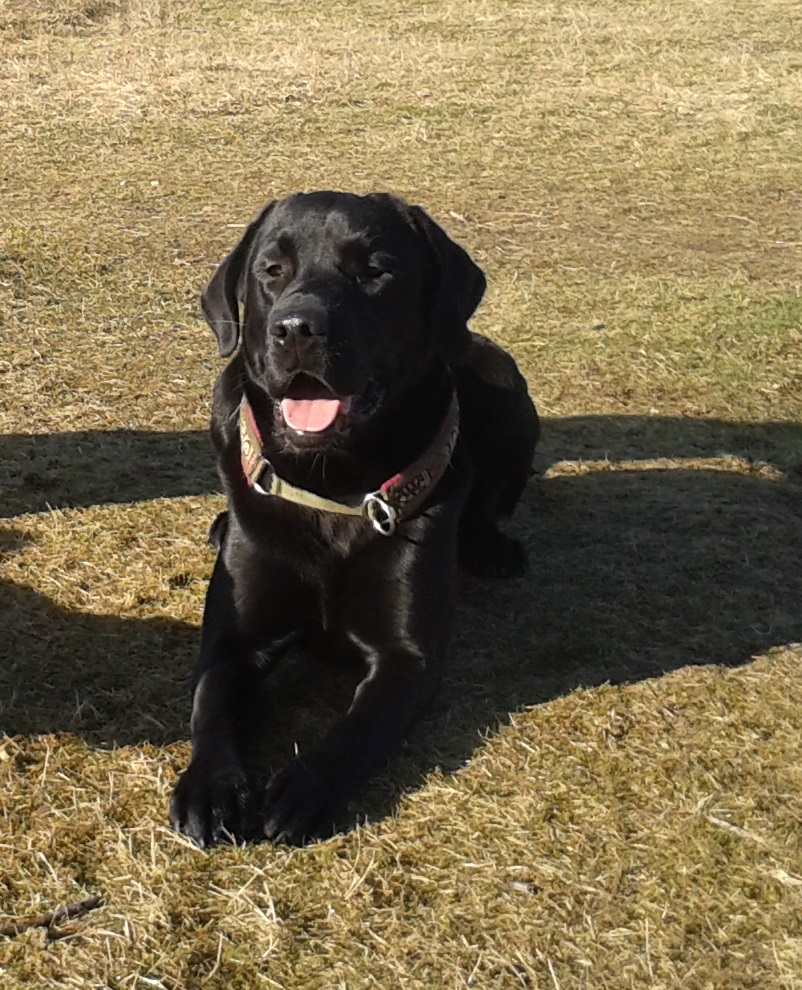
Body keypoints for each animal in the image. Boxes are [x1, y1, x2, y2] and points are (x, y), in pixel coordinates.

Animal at [172, 196, 540, 852]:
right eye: (272, 271)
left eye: (375, 270)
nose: (296, 328)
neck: (334, 486)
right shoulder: (234, 637)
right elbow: (210, 705)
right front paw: (210, 787)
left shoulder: (408, 658)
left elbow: (357, 731)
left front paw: (304, 788)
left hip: (504, 385)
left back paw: (490, 546)